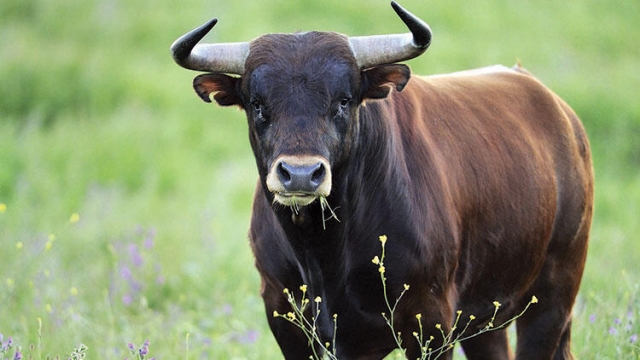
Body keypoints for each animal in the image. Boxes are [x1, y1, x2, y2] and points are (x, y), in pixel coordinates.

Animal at [171, 1, 596, 358]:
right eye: (258, 104)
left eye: (343, 100)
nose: (301, 174)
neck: (323, 253)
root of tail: (562, 114)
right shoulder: (288, 321)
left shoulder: (429, 323)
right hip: (486, 321)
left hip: (552, 299)